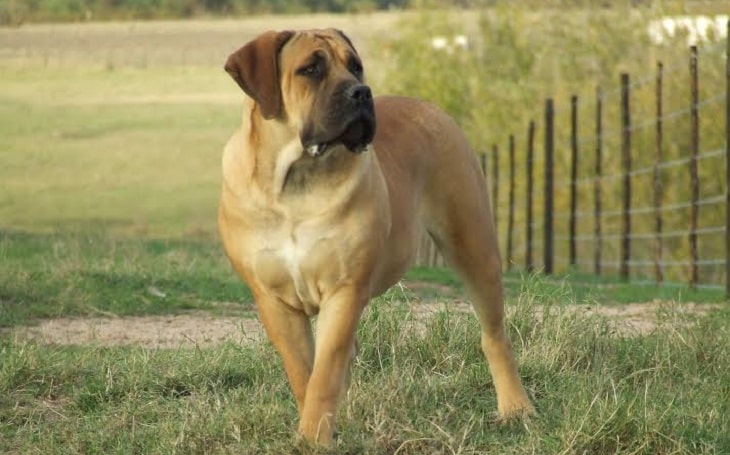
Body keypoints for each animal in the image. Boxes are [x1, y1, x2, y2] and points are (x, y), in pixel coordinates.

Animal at [216, 29, 528, 448]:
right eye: (310, 69)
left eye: (355, 66)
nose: (361, 92)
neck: (297, 179)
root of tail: (432, 108)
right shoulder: (274, 300)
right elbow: (304, 372)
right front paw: (314, 432)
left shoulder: (344, 289)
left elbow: (324, 373)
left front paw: (314, 437)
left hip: (474, 246)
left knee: (494, 336)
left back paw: (516, 407)